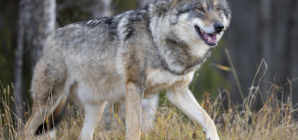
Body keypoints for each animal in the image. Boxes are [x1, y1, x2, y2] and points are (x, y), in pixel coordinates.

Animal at [24, 0, 232, 139]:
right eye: (199, 8)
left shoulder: (177, 92)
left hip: (96, 109)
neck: (158, 38)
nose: (219, 27)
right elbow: (135, 129)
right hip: (49, 102)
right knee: (26, 129)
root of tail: (50, 38)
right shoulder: (134, 86)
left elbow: (209, 120)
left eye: (218, 9)